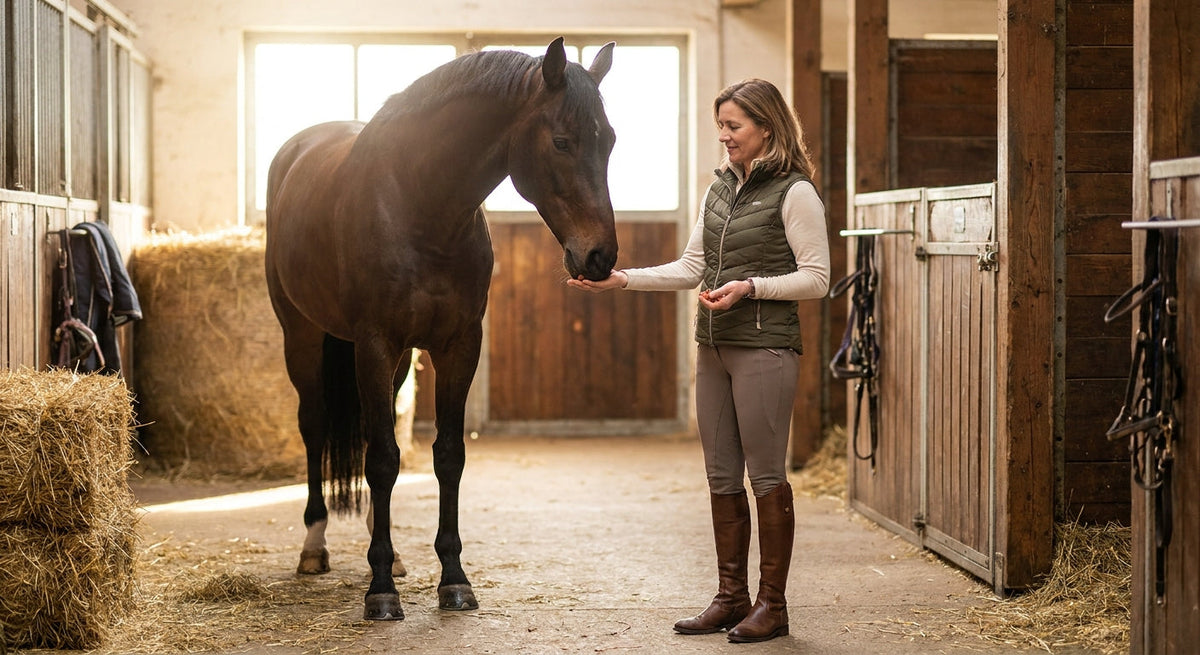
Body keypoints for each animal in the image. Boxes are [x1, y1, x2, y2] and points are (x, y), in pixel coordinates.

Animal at [263, 37, 617, 621]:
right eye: (562, 142)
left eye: (608, 141)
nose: (600, 257)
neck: (420, 204)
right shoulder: (374, 343)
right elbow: (383, 459)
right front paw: (380, 590)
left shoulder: (457, 346)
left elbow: (447, 456)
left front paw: (452, 579)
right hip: (303, 338)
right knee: (314, 427)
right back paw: (314, 547)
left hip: (398, 361)